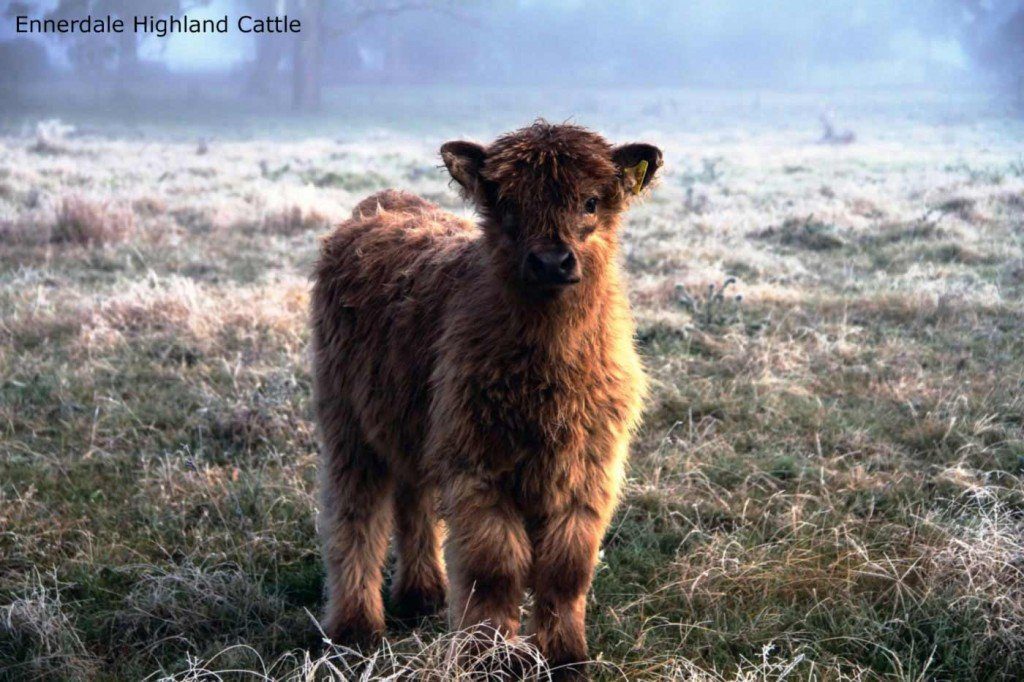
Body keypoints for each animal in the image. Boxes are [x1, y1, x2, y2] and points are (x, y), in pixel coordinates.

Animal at [311, 122, 663, 675]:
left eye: (590, 201)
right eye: (509, 204)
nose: (551, 260)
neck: (548, 381)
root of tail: (382, 203)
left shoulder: (589, 471)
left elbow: (566, 570)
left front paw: (566, 658)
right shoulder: (478, 469)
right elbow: (495, 569)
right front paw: (487, 657)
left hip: (413, 423)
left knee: (413, 502)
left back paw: (422, 593)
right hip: (348, 421)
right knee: (355, 517)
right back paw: (355, 628)